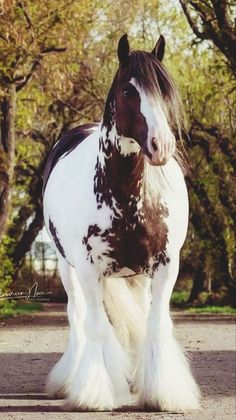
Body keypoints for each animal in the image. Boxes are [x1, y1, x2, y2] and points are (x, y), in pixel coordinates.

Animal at [42, 34, 201, 412]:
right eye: (129, 90)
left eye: (165, 89)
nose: (162, 145)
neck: (126, 197)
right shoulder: (88, 271)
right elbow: (97, 328)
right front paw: (94, 394)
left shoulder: (166, 267)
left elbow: (155, 326)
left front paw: (163, 393)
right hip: (67, 270)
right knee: (78, 319)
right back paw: (69, 379)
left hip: (140, 277)